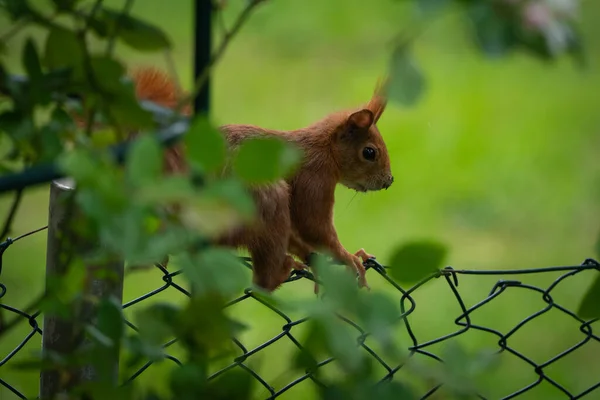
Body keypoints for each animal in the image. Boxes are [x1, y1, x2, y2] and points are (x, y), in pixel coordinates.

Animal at [128, 67, 392, 292]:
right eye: (369, 152)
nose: (389, 181)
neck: (323, 148)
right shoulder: (314, 179)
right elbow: (314, 227)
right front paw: (348, 257)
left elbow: (297, 237)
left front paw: (314, 258)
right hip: (263, 199)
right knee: (261, 282)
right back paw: (279, 272)